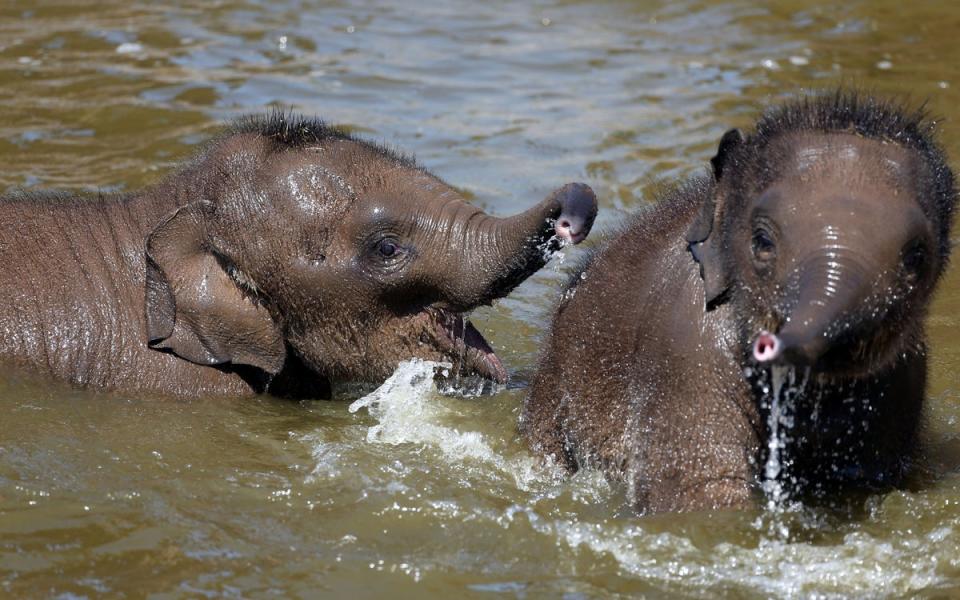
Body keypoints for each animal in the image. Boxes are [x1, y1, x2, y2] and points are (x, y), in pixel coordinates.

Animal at [520, 91, 956, 512]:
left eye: (916, 257)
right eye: (762, 242)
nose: (772, 344)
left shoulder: (903, 382)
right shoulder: (685, 348)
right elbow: (698, 492)